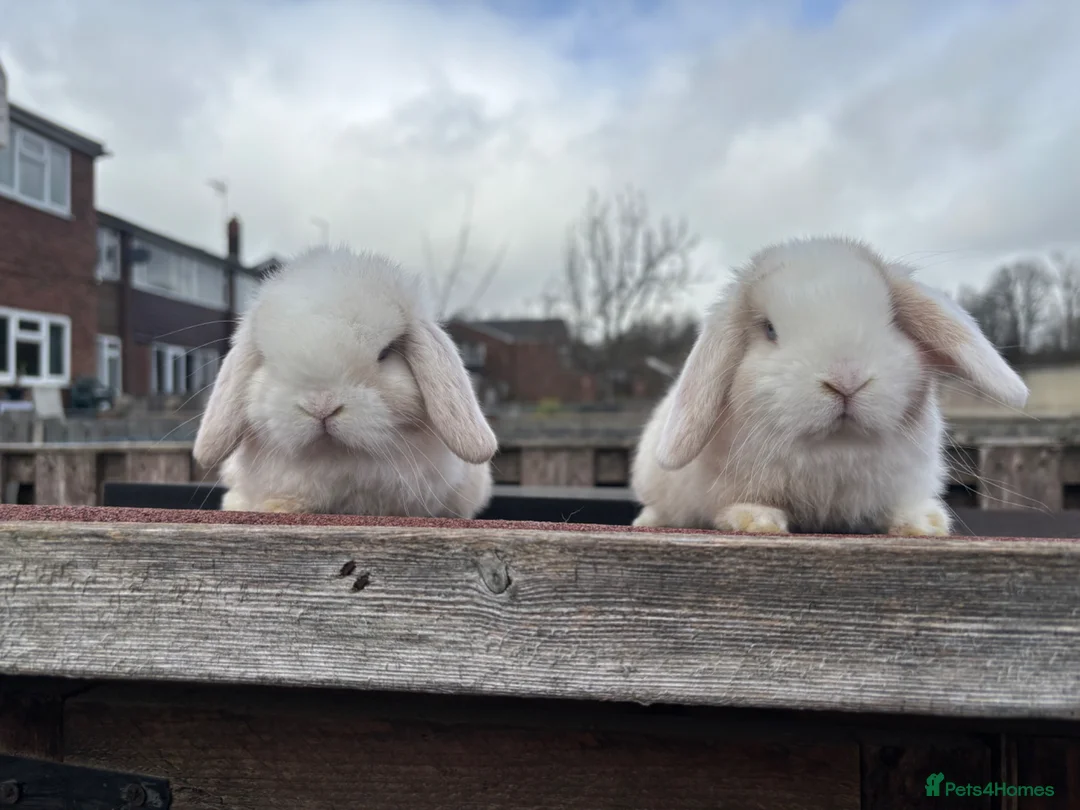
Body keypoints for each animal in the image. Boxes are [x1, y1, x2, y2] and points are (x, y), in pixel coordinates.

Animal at [630, 235, 1029, 537]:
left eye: (892, 319)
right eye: (770, 330)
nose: (846, 380)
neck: (836, 447)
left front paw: (924, 522)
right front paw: (755, 519)